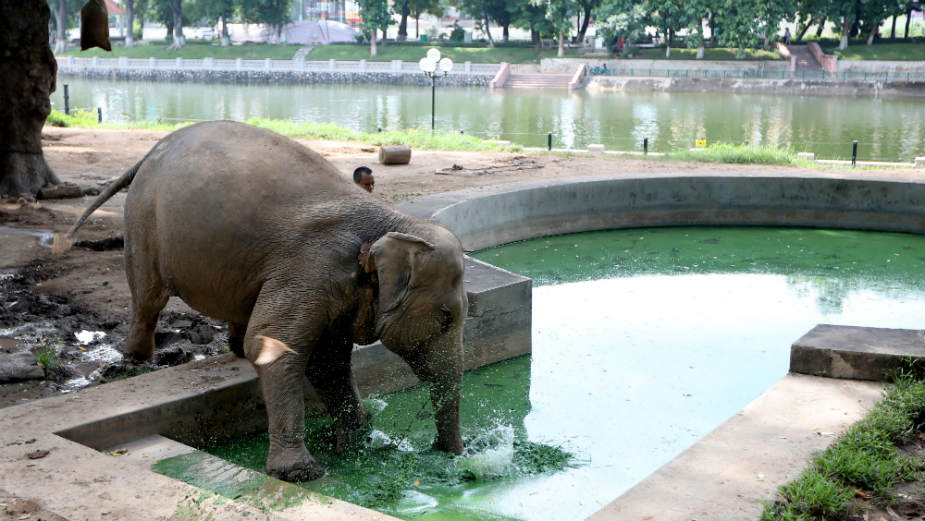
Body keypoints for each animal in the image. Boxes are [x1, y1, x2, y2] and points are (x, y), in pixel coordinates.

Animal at [63, 120, 470, 482]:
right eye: (446, 318)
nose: (453, 455)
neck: (390, 221)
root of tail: (152, 150)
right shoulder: (310, 267)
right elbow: (275, 343)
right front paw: (302, 473)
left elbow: (327, 361)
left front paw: (356, 440)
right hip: (143, 219)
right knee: (147, 297)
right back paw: (134, 363)